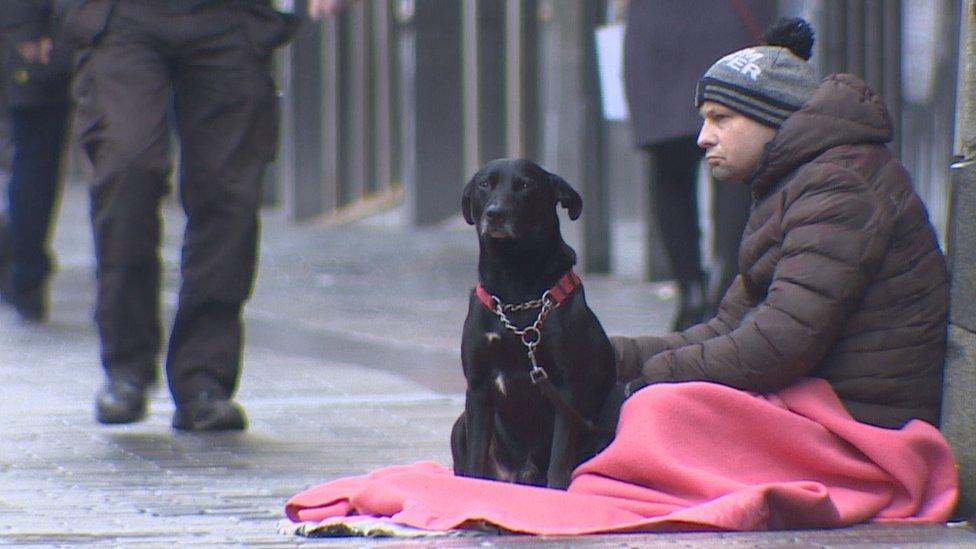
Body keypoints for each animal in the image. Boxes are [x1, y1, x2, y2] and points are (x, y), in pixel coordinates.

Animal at [452, 156, 616, 486]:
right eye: (484, 184)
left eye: (526, 185)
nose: (495, 213)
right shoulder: (477, 388)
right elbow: (475, 461)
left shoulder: (566, 389)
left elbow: (559, 461)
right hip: (459, 425)